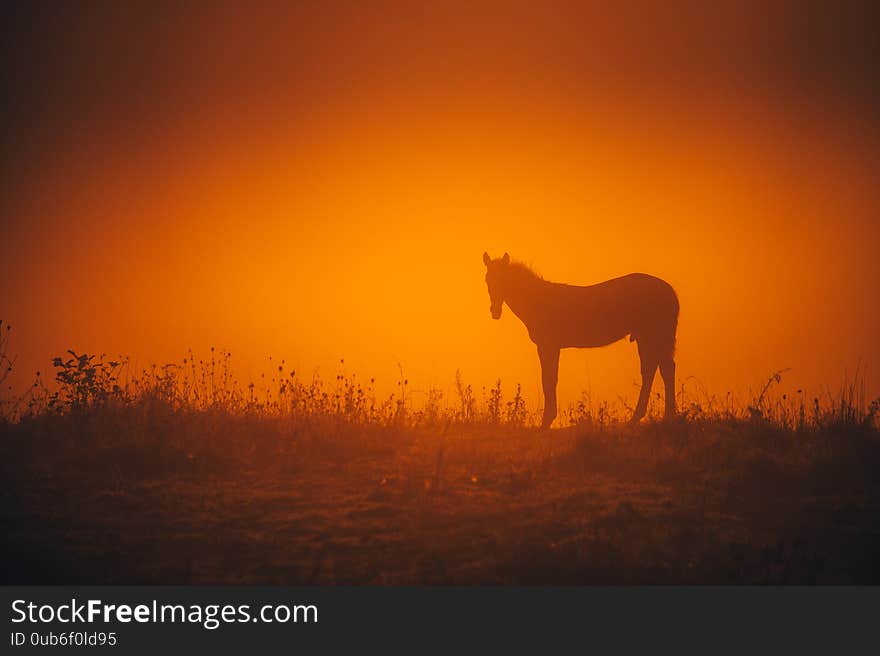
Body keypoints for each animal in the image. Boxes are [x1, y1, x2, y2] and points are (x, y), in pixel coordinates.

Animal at [482, 250, 680, 426]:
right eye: (487, 280)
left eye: (503, 279)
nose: (495, 312)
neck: (539, 301)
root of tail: (670, 292)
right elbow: (550, 379)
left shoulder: (548, 346)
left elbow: (549, 380)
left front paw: (547, 420)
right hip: (648, 337)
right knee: (657, 369)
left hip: (653, 336)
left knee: (661, 369)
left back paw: (661, 417)